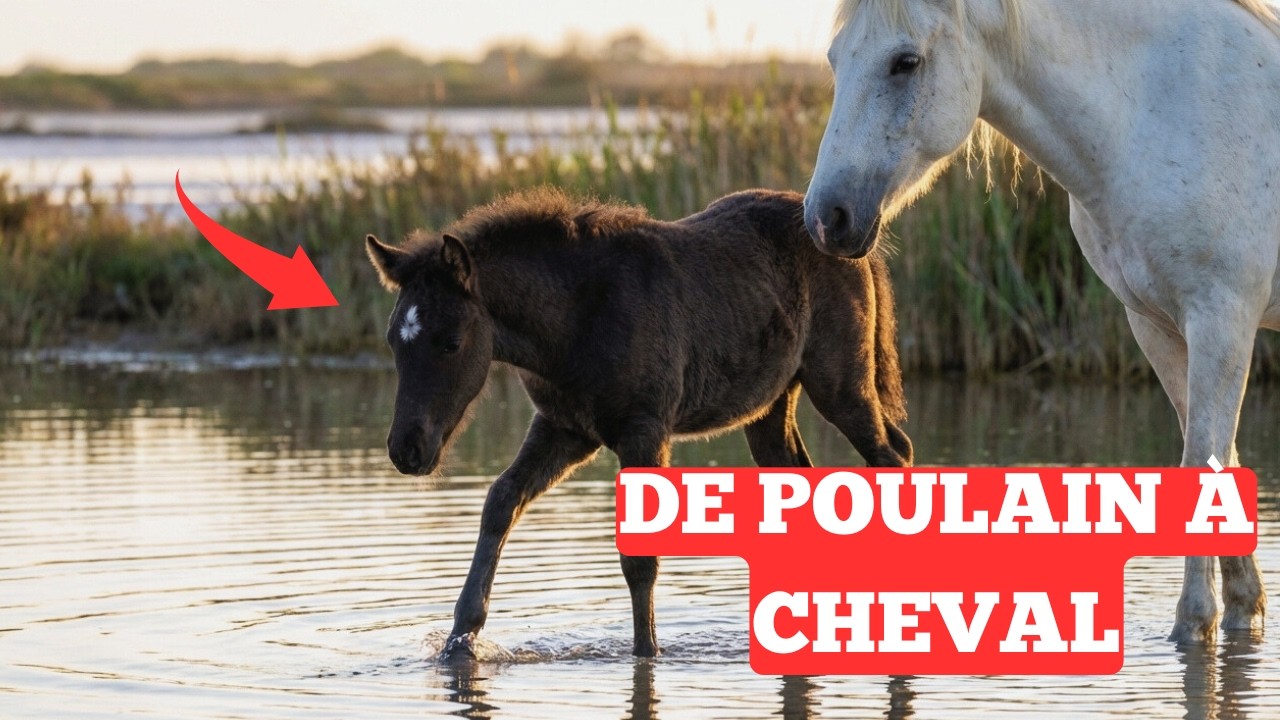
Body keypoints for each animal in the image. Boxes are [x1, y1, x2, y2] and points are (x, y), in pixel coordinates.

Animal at [365, 187, 913, 658]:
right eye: (393, 339)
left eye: (451, 341)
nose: (407, 448)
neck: (574, 322)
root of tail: (858, 246)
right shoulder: (565, 428)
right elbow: (501, 501)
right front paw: (460, 639)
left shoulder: (643, 430)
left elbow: (639, 558)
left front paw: (647, 651)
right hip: (772, 404)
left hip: (840, 381)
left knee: (892, 456)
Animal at [803, 0, 1278, 643]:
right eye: (835, 60)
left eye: (905, 62)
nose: (826, 218)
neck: (1158, 110)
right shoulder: (1157, 326)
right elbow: (1216, 457)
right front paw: (1241, 607)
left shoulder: (1222, 318)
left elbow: (1203, 460)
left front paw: (1193, 621)